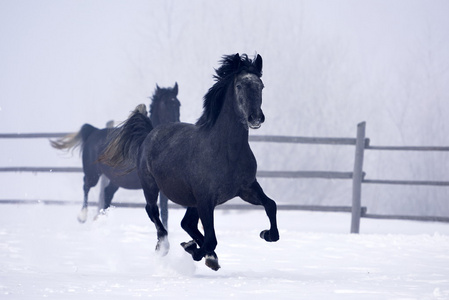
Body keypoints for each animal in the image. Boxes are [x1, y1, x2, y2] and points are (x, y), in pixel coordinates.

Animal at [50, 81, 180, 223]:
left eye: (178, 104)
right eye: (164, 104)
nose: (176, 126)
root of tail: (94, 131)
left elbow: (165, 212)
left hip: (116, 179)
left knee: (107, 193)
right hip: (93, 174)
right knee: (86, 185)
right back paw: (82, 216)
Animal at [100, 52, 278, 270]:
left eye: (261, 85)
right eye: (238, 86)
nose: (255, 118)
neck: (226, 152)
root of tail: (149, 133)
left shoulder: (247, 188)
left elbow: (271, 205)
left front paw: (266, 234)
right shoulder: (205, 199)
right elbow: (211, 239)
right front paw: (197, 252)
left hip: (191, 200)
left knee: (187, 223)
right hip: (151, 186)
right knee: (153, 212)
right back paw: (166, 247)